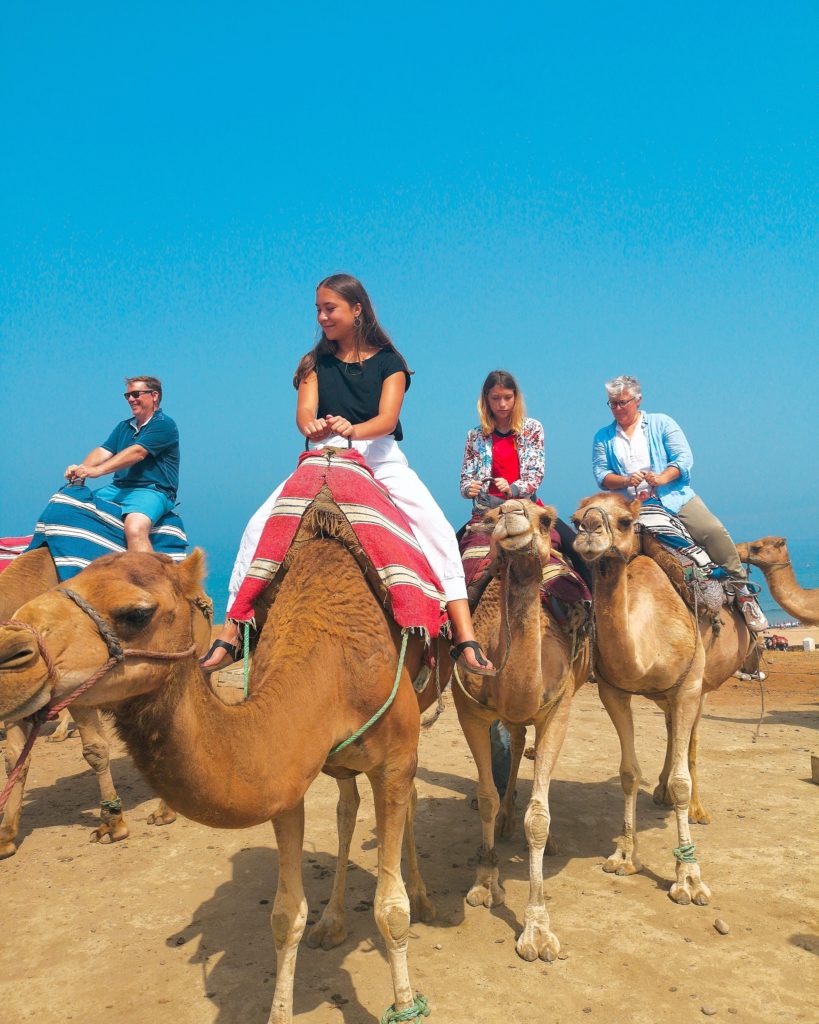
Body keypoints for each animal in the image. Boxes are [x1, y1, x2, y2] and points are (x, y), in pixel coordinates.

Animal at [0, 544, 179, 856]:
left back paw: (166, 809)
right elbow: (14, 758)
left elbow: (95, 750)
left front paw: (112, 824)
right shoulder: (20, 698)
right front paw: (6, 835)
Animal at [450, 499, 585, 962]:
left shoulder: (558, 707)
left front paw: (538, 929)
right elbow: (486, 797)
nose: (511, 512)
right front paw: (483, 882)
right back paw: (507, 819)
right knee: (515, 737)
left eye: (546, 520)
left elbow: (538, 817)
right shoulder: (469, 709)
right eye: (492, 519)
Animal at [573, 495, 753, 905]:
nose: (589, 530)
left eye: (625, 521)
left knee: (692, 740)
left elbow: (683, 780)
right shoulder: (612, 691)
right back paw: (659, 792)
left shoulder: (688, 688)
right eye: (575, 519)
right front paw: (625, 856)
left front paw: (689, 878)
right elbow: (628, 773)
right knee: (672, 731)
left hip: (702, 685)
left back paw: (697, 809)